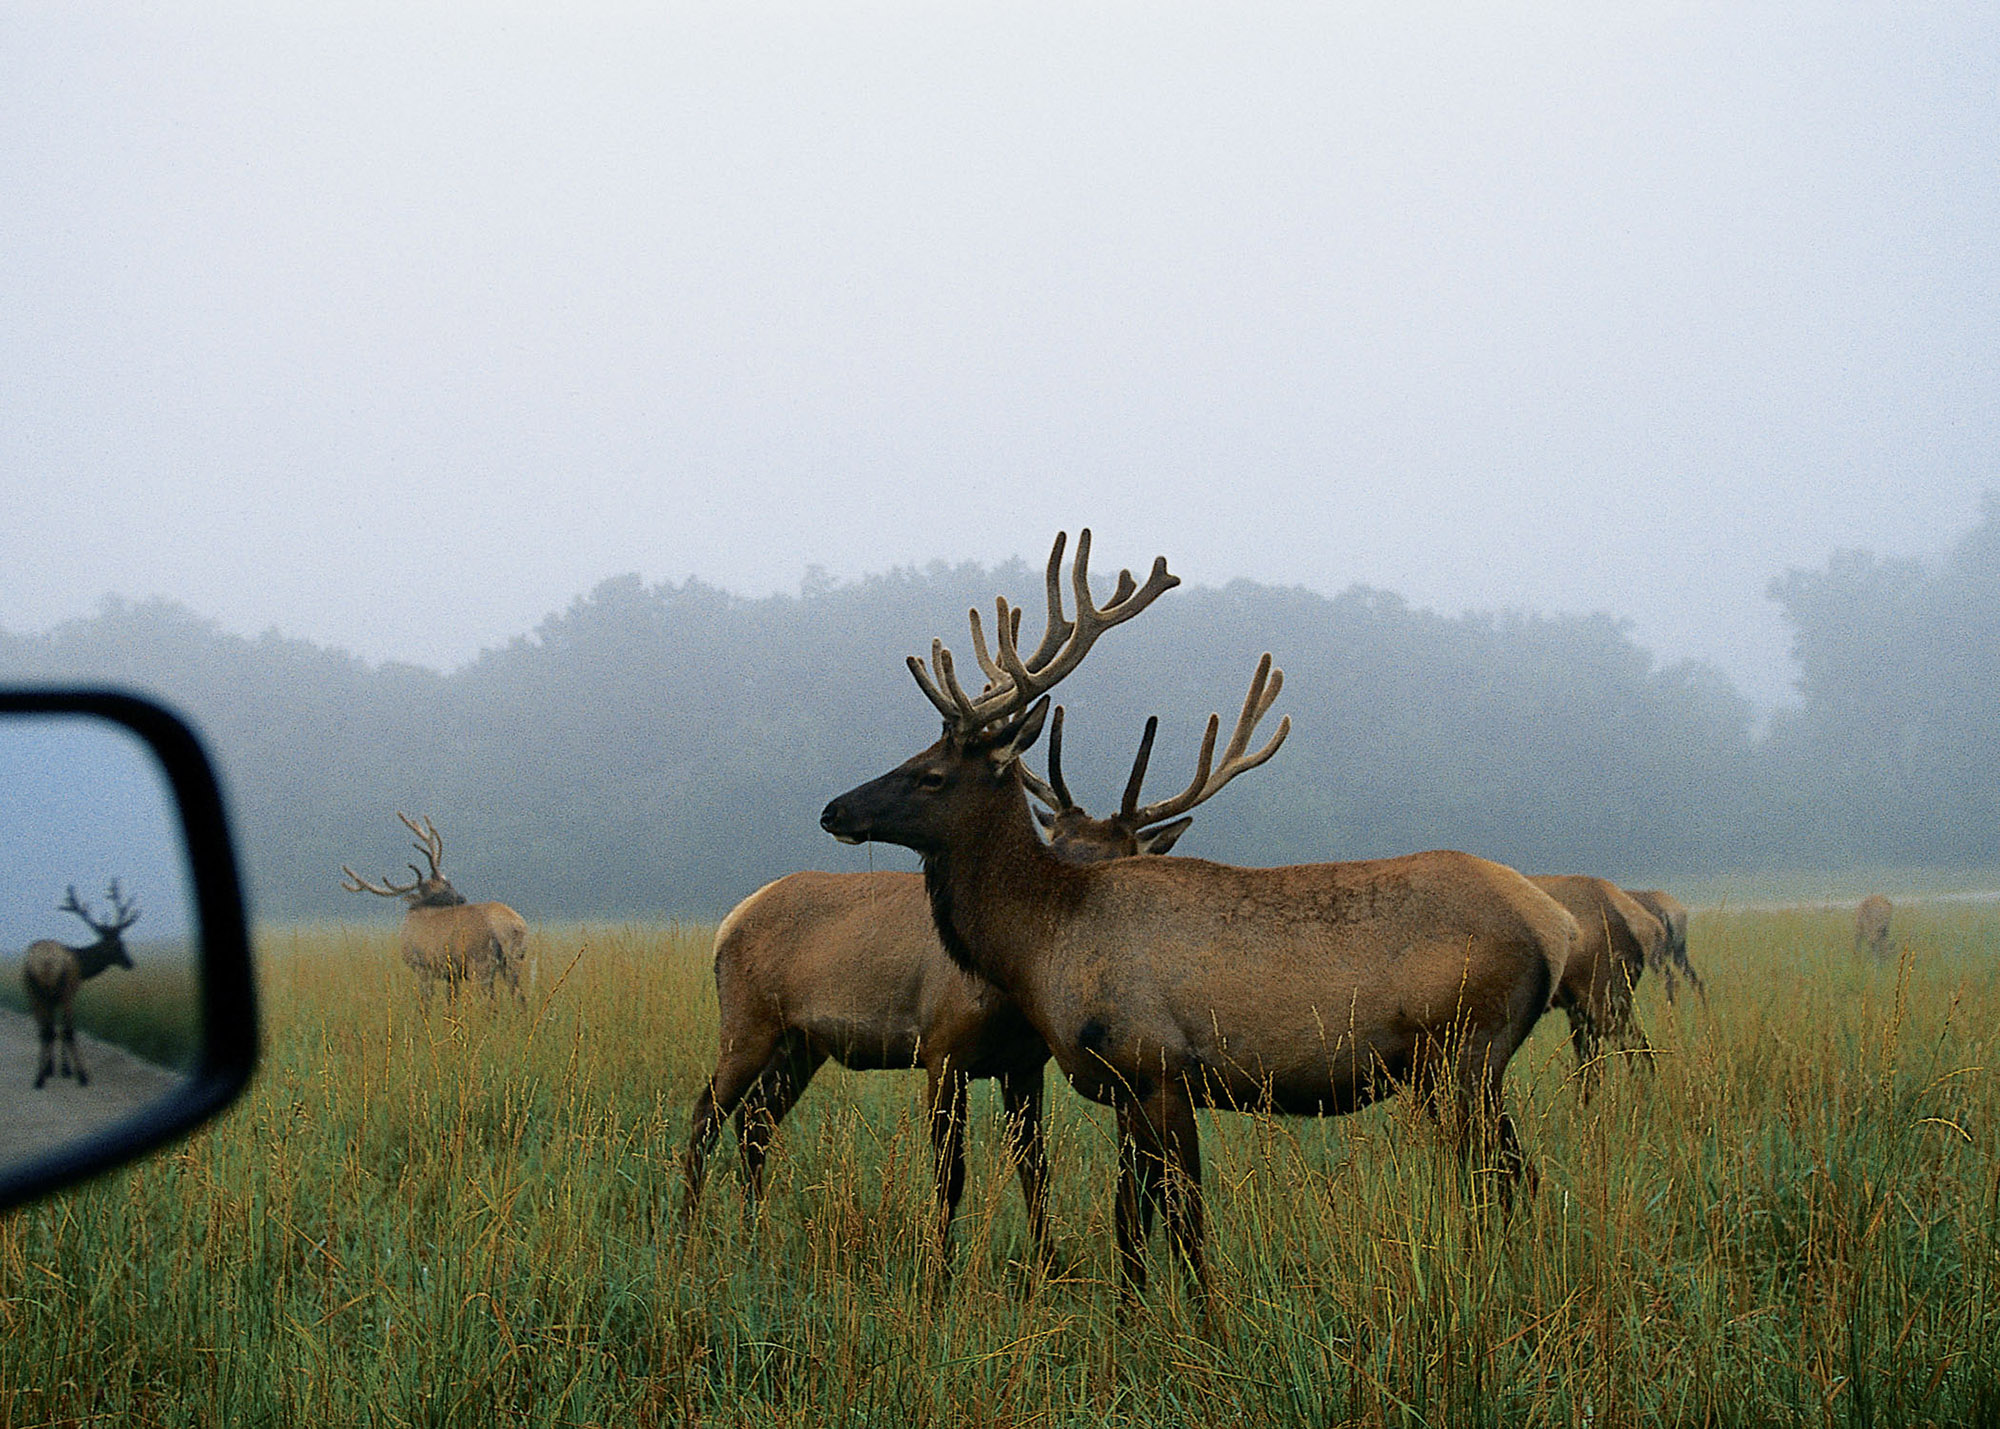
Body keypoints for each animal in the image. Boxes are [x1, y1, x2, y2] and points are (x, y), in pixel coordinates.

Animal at [22, 880, 139, 1080]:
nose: (129, 963)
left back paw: (42, 1072)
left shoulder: (51, 1000)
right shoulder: (69, 992)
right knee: (66, 1031)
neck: (81, 964)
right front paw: (64, 1068)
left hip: (33, 992)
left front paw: (52, 1066)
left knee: (44, 1029)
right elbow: (62, 1030)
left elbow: (53, 1030)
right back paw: (79, 1072)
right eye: (119, 944)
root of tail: (45, 963)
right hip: (64, 990)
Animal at [344, 812, 532, 1000]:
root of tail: (512, 926)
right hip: (515, 960)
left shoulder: (422, 967)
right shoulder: (451, 974)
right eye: (444, 885)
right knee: (519, 996)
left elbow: (425, 1001)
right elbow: (451, 1000)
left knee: (490, 1000)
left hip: (480, 962)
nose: (461, 898)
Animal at [816, 532, 1576, 1304]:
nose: (834, 809)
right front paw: (1130, 1317)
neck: (1043, 942)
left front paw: (1205, 1325)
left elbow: (1186, 1220)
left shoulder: (1162, 1065)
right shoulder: (1123, 1083)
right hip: (1458, 1067)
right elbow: (1129, 1218)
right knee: (1516, 1175)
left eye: (931, 775)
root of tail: (1555, 924)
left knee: (1505, 1177)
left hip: (1467, 1050)